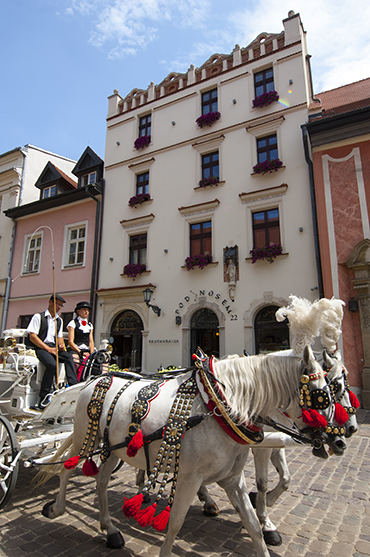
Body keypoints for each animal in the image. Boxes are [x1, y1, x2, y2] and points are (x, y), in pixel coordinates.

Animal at [42, 348, 346, 556]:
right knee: (67, 468)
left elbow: (253, 524)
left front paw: (263, 529)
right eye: (323, 395)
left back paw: (110, 529)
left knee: (101, 481)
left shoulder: (233, 478)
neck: (221, 408)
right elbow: (175, 522)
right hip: (86, 439)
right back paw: (56, 508)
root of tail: (94, 380)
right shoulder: (189, 478)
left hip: (114, 449)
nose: (340, 439)